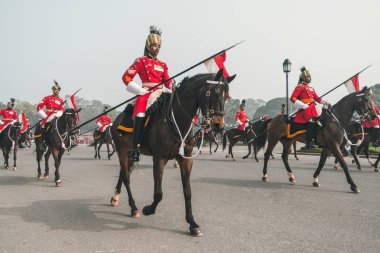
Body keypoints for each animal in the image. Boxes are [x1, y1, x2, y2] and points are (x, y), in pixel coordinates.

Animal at [110, 69, 235, 237]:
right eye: (214, 93)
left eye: (226, 95)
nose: (219, 126)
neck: (177, 120)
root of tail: (116, 119)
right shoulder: (159, 159)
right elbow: (159, 193)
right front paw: (149, 209)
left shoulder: (186, 159)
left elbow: (187, 191)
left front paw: (192, 224)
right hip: (122, 150)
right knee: (126, 176)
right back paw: (134, 207)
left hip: (130, 152)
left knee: (124, 174)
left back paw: (116, 198)